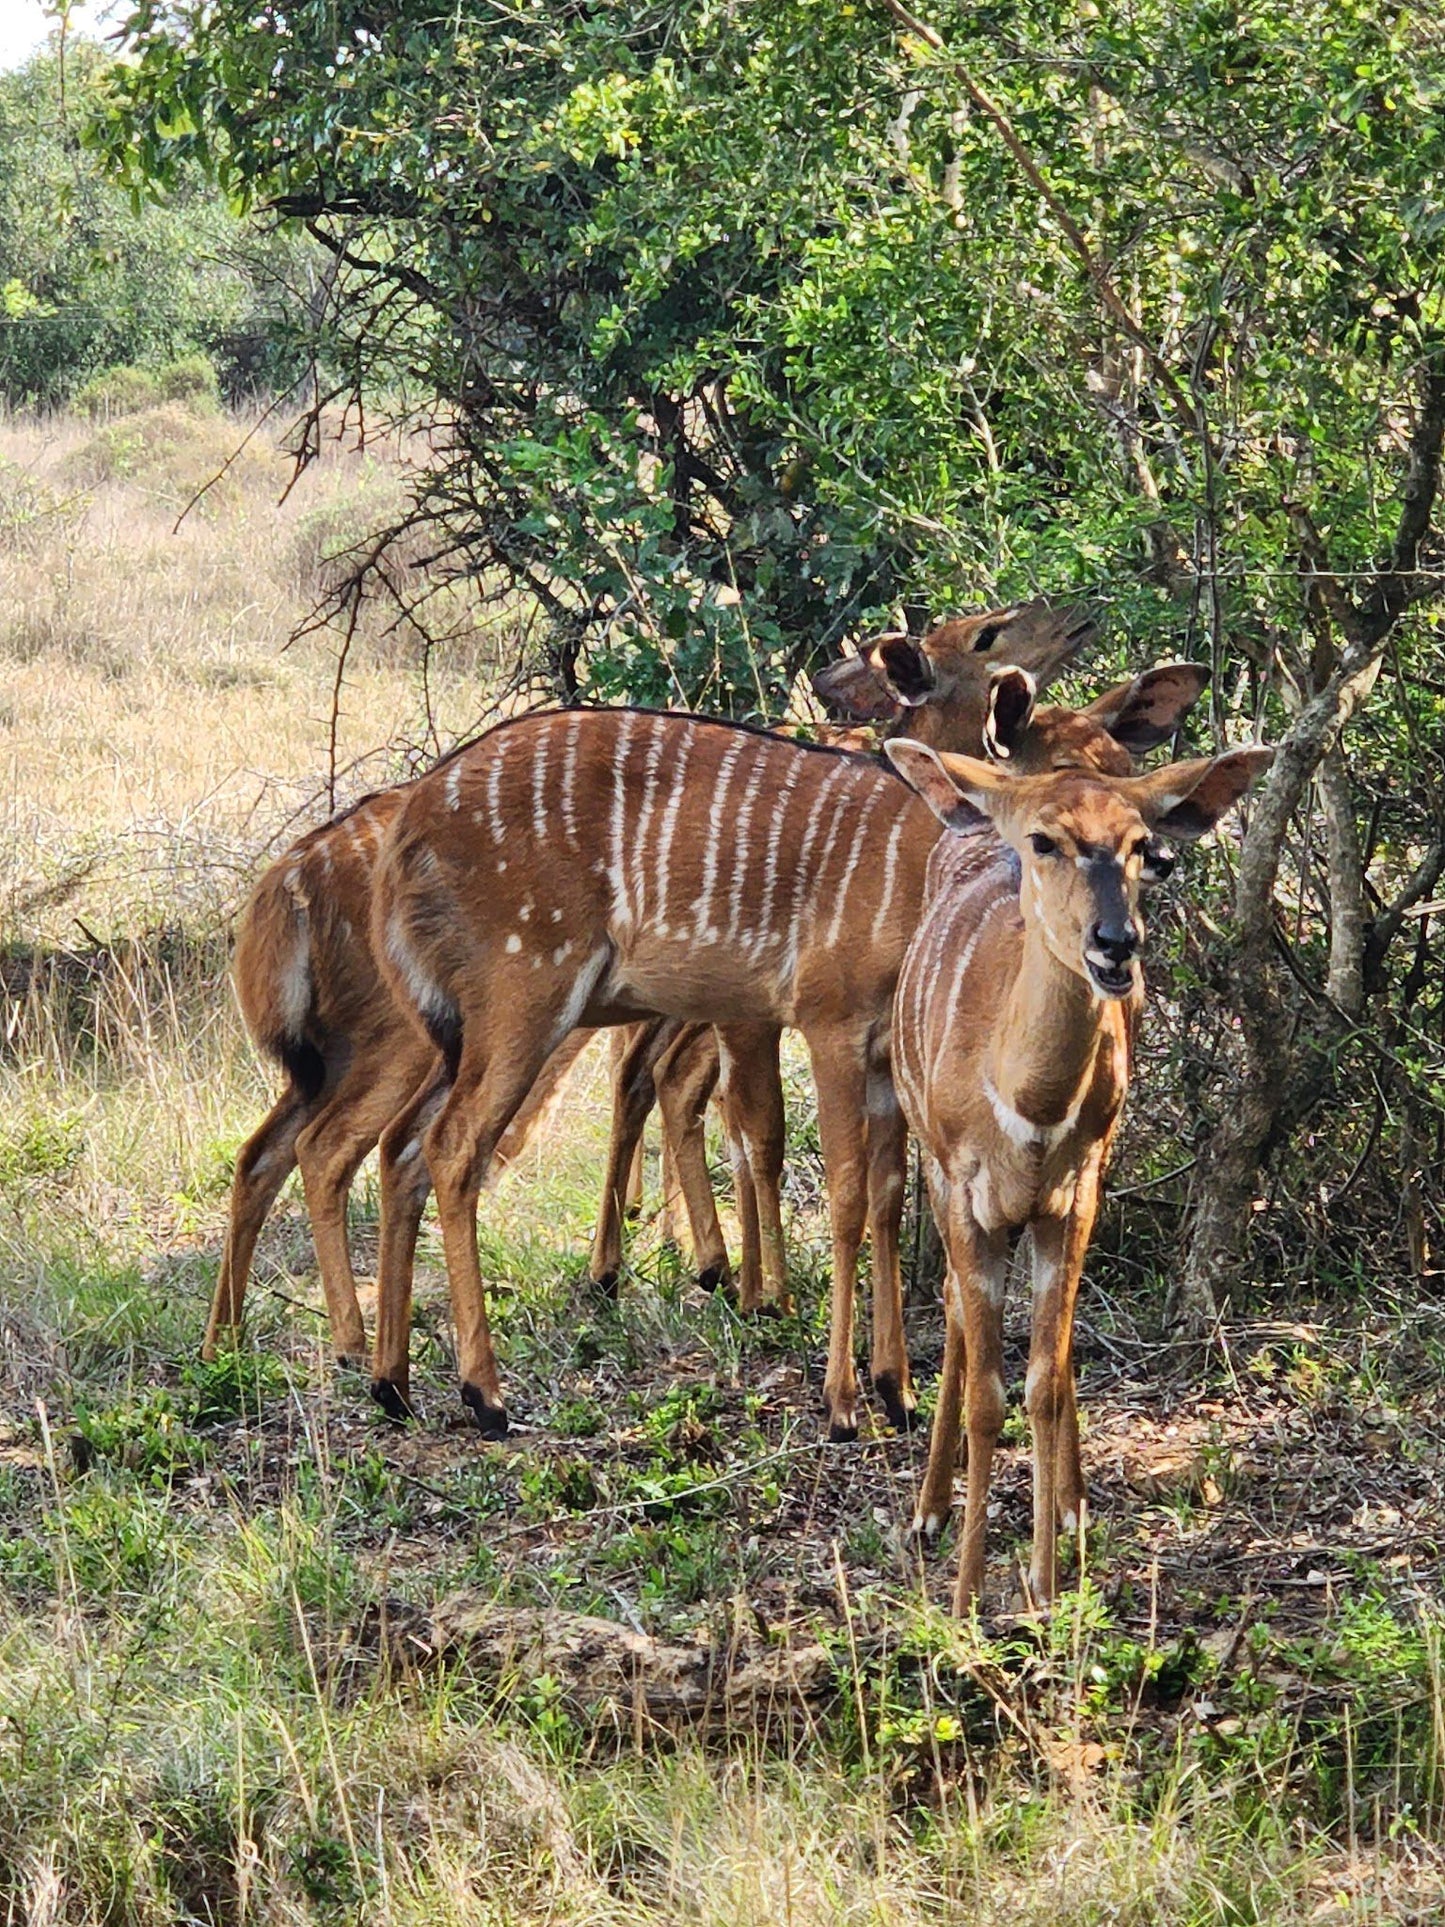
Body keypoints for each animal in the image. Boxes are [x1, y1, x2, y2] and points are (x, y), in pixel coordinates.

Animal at [369, 655, 1209, 1441]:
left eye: (1130, 773)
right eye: (1047, 811)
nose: (1160, 861)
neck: (916, 870)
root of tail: (409, 824)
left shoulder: (884, 1054)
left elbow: (886, 1193)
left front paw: (896, 1389)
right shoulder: (829, 1020)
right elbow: (843, 1193)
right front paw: (840, 1399)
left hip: (463, 1026)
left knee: (400, 1143)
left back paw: (392, 1385)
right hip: (525, 993)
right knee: (453, 1145)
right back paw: (484, 1393)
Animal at [890, 736, 1271, 1610]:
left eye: (1140, 845)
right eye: (1044, 840)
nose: (1114, 942)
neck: (1026, 1103)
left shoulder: (1074, 1192)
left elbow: (1042, 1377)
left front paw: (1041, 1580)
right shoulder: (963, 1188)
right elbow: (986, 1394)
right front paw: (965, 1598)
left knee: (1052, 1360)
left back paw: (1070, 1507)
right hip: (932, 1163)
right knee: (952, 1310)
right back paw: (926, 1511)